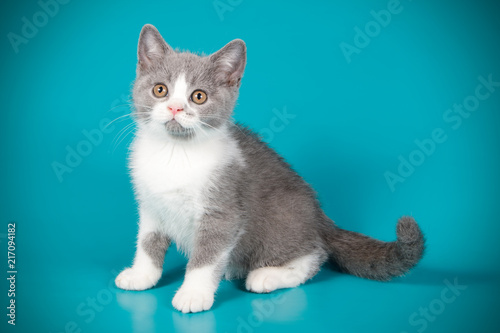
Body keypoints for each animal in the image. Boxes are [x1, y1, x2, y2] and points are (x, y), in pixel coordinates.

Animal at [115, 24, 424, 312]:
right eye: (160, 90)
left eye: (199, 96)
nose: (175, 108)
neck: (175, 153)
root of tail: (320, 219)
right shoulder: (151, 205)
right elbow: (147, 243)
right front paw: (142, 275)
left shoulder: (223, 211)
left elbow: (207, 257)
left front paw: (193, 294)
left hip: (282, 217)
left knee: (315, 254)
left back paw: (267, 275)